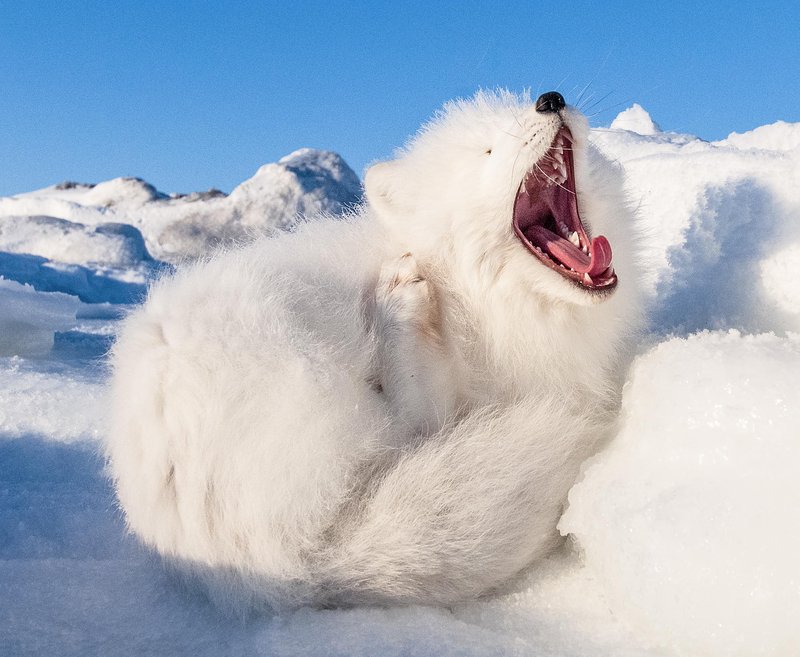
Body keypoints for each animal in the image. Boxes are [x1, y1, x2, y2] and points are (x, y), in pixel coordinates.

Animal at [108, 88, 644, 608]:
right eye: (487, 152)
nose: (550, 99)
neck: (470, 292)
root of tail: (293, 565)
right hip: (310, 367)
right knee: (418, 424)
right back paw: (399, 304)